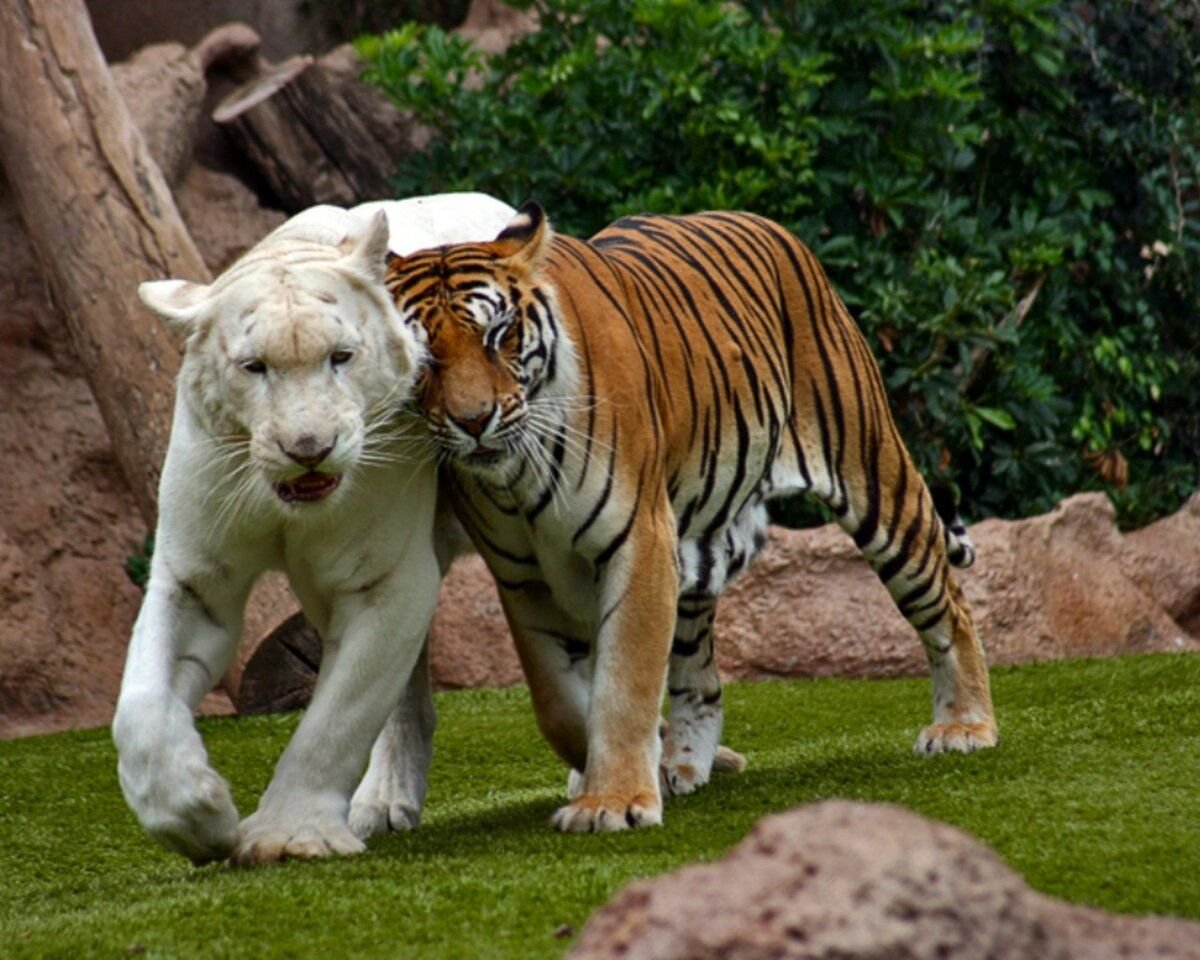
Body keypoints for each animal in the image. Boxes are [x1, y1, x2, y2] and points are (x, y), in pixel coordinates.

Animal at [113, 190, 520, 864]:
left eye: (341, 358)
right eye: (254, 367)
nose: (308, 448)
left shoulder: (383, 578)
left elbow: (337, 718)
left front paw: (288, 837)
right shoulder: (198, 577)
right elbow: (141, 704)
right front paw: (200, 814)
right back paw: (382, 804)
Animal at [384, 204, 993, 830]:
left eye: (497, 335)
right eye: (422, 356)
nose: (473, 421)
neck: (516, 476)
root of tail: (766, 222)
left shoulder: (637, 541)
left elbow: (623, 684)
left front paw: (612, 802)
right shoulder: (524, 576)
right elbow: (559, 701)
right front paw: (627, 773)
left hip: (874, 477)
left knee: (949, 605)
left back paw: (964, 727)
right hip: (696, 547)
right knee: (701, 677)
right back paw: (685, 764)